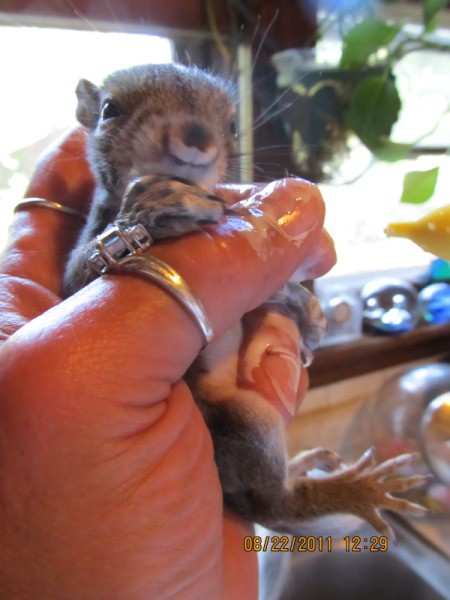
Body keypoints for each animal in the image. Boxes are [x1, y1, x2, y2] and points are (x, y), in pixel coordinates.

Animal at [63, 63, 426, 536]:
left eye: (233, 125)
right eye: (110, 110)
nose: (195, 137)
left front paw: (304, 309)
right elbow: (79, 277)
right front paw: (157, 203)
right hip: (246, 423)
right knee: (275, 504)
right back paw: (350, 490)